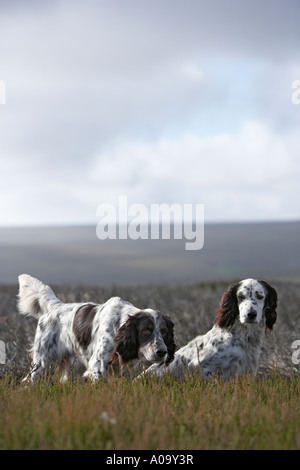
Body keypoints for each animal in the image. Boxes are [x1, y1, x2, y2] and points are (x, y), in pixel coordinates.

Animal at [17, 274, 176, 380]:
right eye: (146, 331)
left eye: (164, 332)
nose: (162, 352)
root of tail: (55, 306)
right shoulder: (97, 365)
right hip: (41, 360)